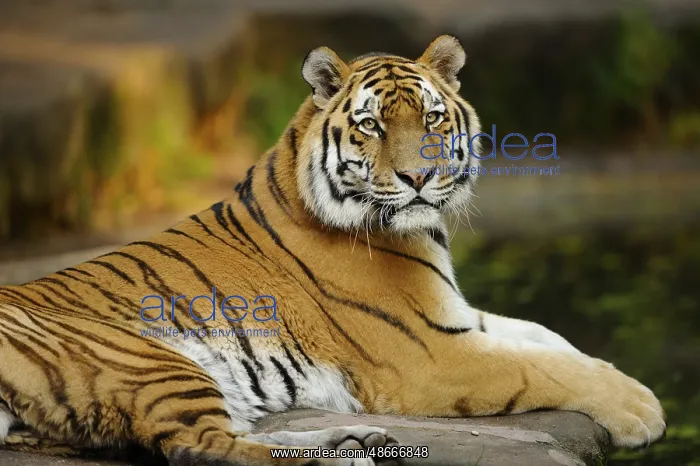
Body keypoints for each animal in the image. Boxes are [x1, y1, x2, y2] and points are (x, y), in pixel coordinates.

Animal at [0, 35, 665, 465]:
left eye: (431, 118)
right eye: (372, 125)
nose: (418, 179)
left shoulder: (454, 317)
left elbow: (549, 338)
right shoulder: (431, 353)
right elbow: (542, 366)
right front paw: (643, 408)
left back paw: (353, 442)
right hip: (146, 357)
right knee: (198, 448)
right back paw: (335, 457)